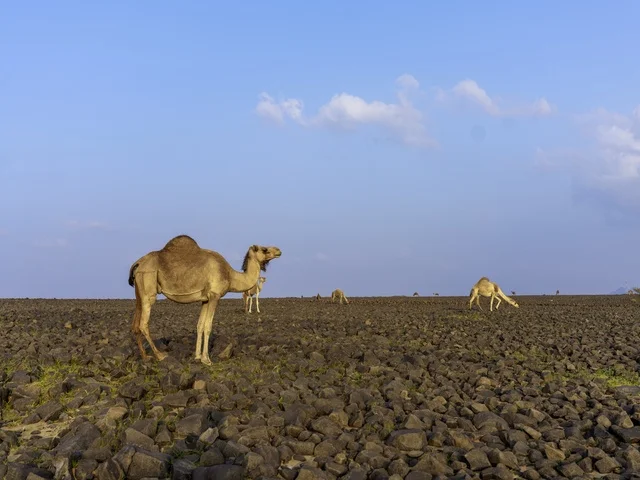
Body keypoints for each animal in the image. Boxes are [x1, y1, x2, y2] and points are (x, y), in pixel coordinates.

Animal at [128, 235, 281, 365]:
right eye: (264, 249)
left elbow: (199, 325)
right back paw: (160, 355)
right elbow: (208, 326)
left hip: (139, 291)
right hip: (148, 287)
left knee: (135, 324)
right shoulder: (214, 295)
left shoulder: (205, 299)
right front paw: (206, 359)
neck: (231, 275)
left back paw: (145, 356)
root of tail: (138, 263)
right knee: (143, 324)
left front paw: (197, 356)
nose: (278, 250)